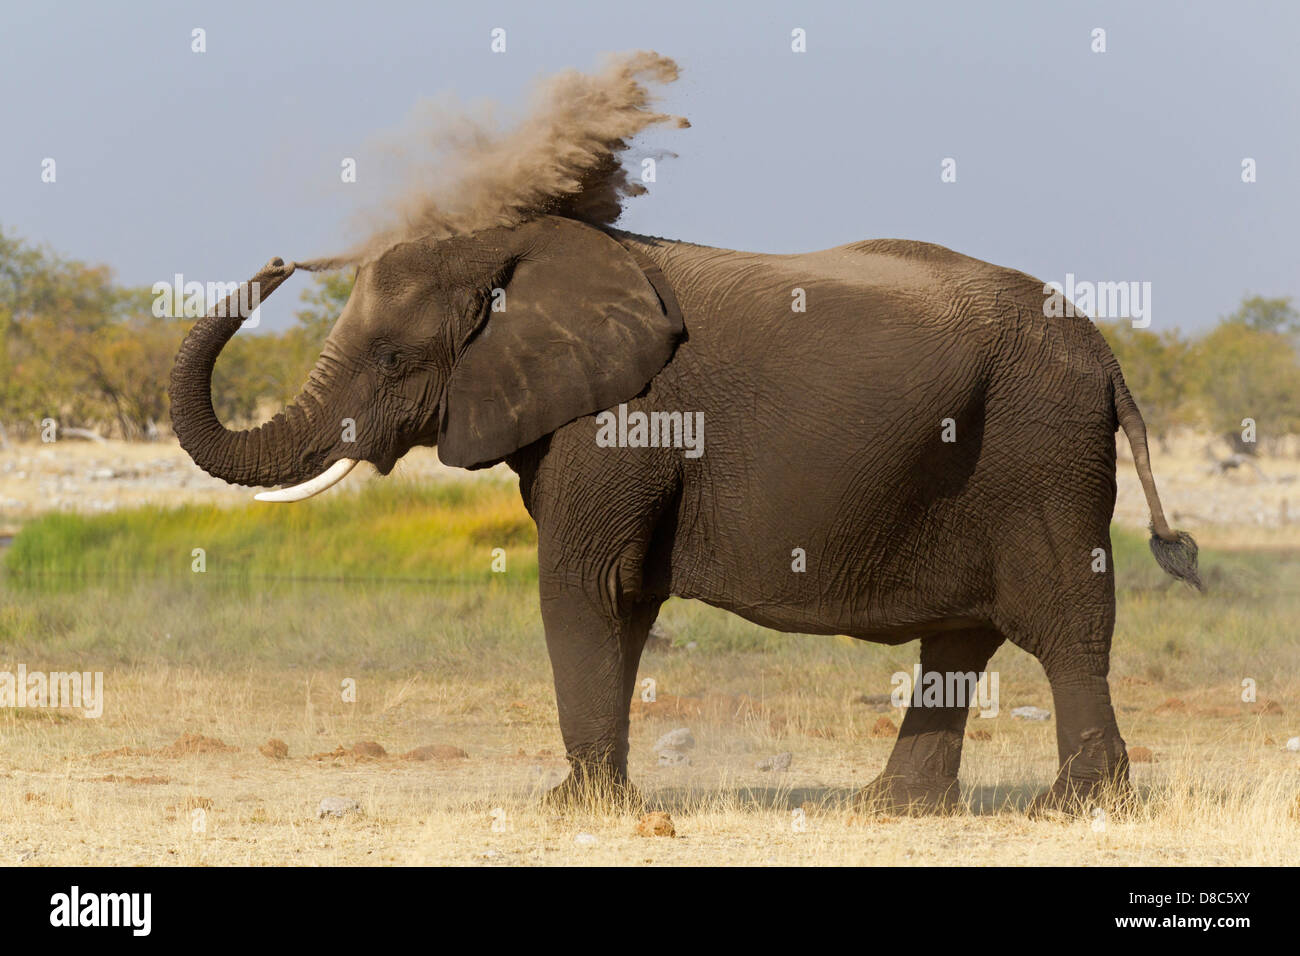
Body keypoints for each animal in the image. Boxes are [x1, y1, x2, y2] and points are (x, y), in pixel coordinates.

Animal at [170, 213, 1196, 811]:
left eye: (392, 359)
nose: (282, 257)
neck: (510, 247)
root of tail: (1108, 357)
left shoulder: (620, 418)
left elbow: (581, 585)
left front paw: (573, 808)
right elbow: (619, 601)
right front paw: (593, 797)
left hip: (1042, 453)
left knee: (1063, 623)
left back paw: (1078, 808)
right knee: (964, 635)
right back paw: (892, 807)